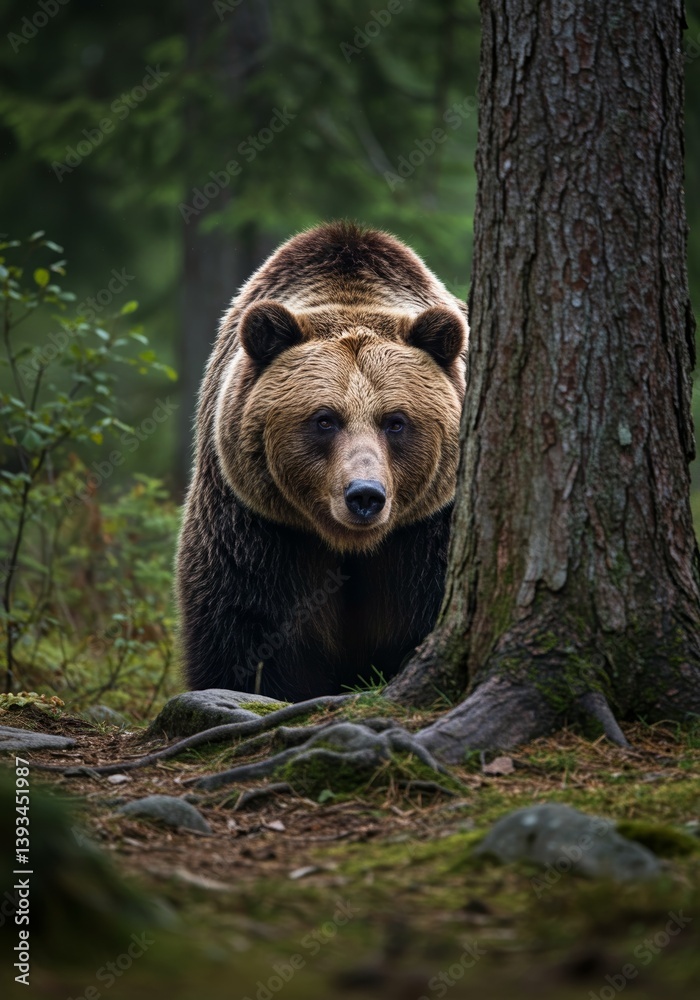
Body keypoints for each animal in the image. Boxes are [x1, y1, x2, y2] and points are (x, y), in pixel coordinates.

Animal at [176, 221, 468, 702]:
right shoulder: (261, 529)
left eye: (396, 421)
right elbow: (246, 627)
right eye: (325, 419)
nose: (365, 495)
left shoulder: (426, 531)